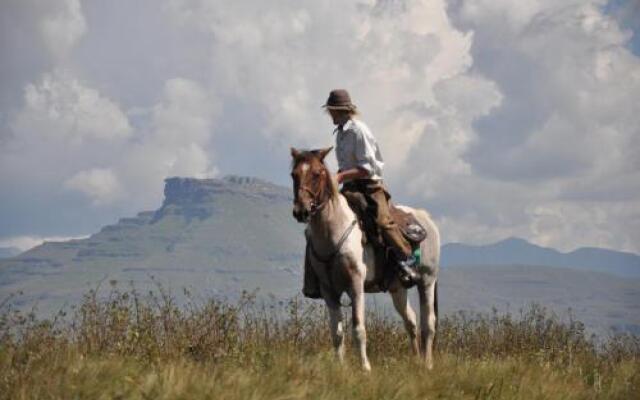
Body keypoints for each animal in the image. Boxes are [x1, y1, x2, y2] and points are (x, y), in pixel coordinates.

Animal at [290, 147, 440, 370]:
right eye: (294, 174)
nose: (301, 211)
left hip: (427, 281)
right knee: (411, 321)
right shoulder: (328, 290)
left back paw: (428, 364)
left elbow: (359, 329)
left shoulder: (356, 284)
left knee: (428, 324)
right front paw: (341, 368)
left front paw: (365, 368)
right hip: (397, 288)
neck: (334, 230)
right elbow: (336, 333)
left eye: (317, 174)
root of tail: (426, 218)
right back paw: (416, 360)